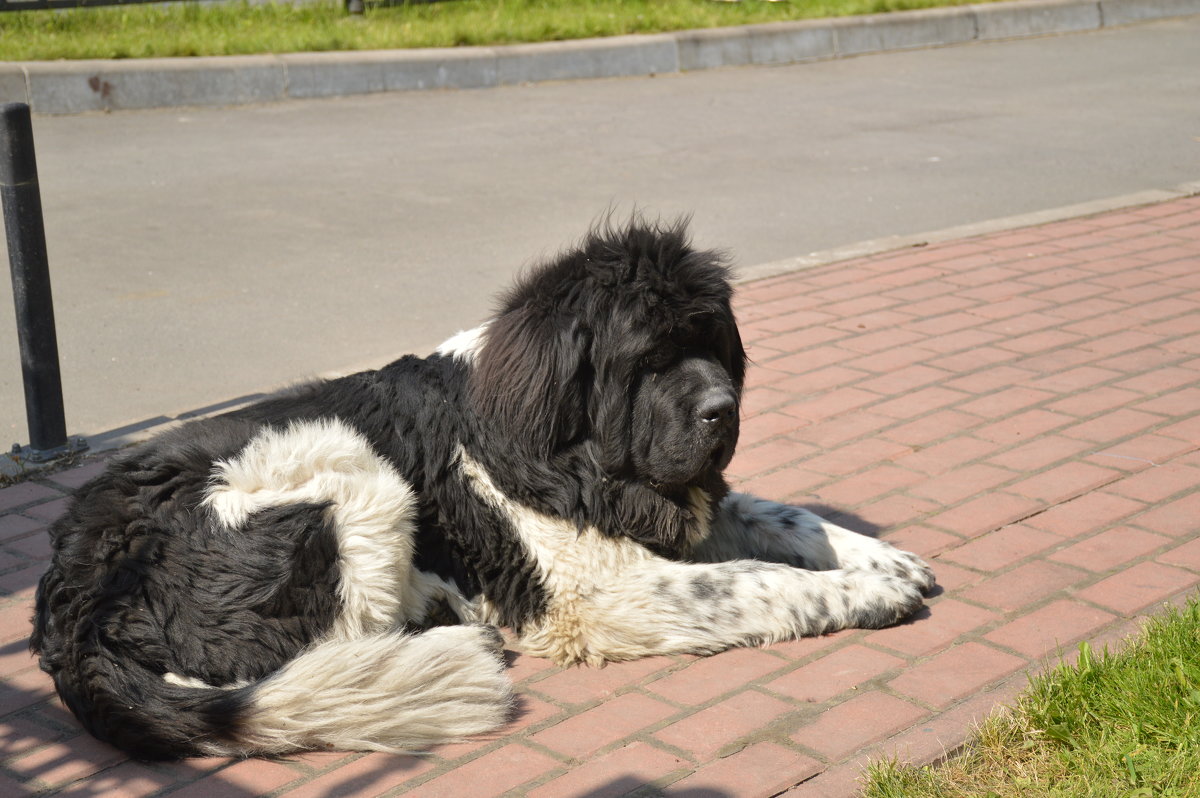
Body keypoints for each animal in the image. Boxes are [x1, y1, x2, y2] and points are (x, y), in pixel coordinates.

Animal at [28, 218, 931, 758]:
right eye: (648, 360)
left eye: (713, 343)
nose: (723, 410)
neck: (569, 451)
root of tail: (74, 587)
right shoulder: (597, 590)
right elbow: (752, 581)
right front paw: (865, 593)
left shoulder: (672, 506)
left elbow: (783, 517)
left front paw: (883, 560)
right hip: (350, 469)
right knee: (293, 658)